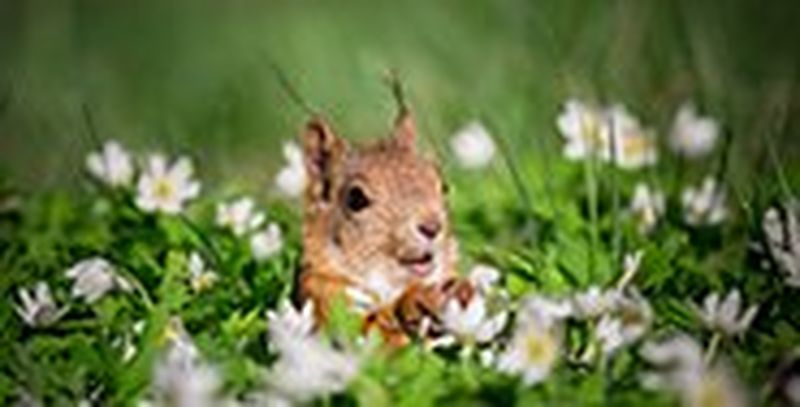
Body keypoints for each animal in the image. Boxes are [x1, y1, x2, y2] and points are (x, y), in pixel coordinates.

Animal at [296, 99, 472, 346]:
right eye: (356, 198)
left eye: (443, 186)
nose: (432, 227)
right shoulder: (326, 299)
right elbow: (375, 333)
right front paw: (419, 300)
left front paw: (462, 291)